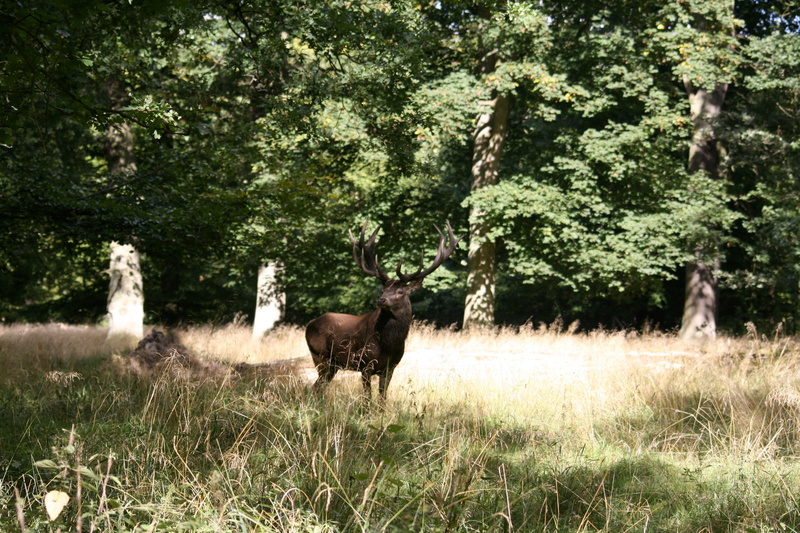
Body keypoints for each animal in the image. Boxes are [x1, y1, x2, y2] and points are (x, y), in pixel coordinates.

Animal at [305, 220, 461, 400]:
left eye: (400, 291)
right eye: (382, 289)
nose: (381, 300)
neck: (389, 344)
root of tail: (309, 325)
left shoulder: (391, 367)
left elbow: (382, 398)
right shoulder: (365, 364)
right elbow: (367, 398)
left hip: (332, 364)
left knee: (318, 387)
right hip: (319, 355)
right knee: (316, 386)